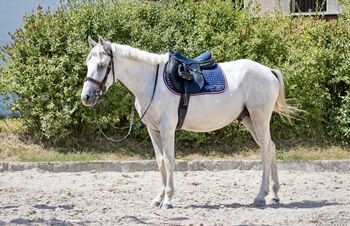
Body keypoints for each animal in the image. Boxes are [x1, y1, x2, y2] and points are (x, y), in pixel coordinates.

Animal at [80, 36, 294, 208]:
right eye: (87, 64)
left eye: (101, 65)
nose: (86, 97)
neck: (151, 83)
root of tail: (268, 71)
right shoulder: (153, 130)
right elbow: (160, 162)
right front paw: (158, 198)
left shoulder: (167, 129)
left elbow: (169, 160)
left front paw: (167, 199)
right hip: (249, 119)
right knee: (271, 148)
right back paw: (274, 194)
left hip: (259, 118)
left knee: (265, 150)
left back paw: (261, 196)